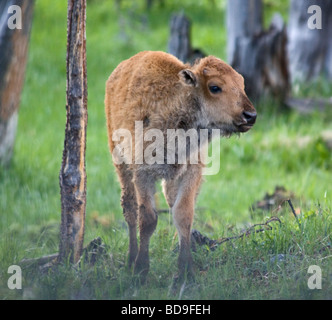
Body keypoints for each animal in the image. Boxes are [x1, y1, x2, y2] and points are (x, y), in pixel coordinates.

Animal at [105, 50, 255, 282]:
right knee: (129, 209)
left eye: (241, 83)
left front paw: (186, 270)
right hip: (121, 162)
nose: (250, 116)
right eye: (215, 87)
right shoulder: (142, 174)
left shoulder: (191, 172)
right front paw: (141, 270)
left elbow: (183, 214)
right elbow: (147, 218)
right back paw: (130, 260)